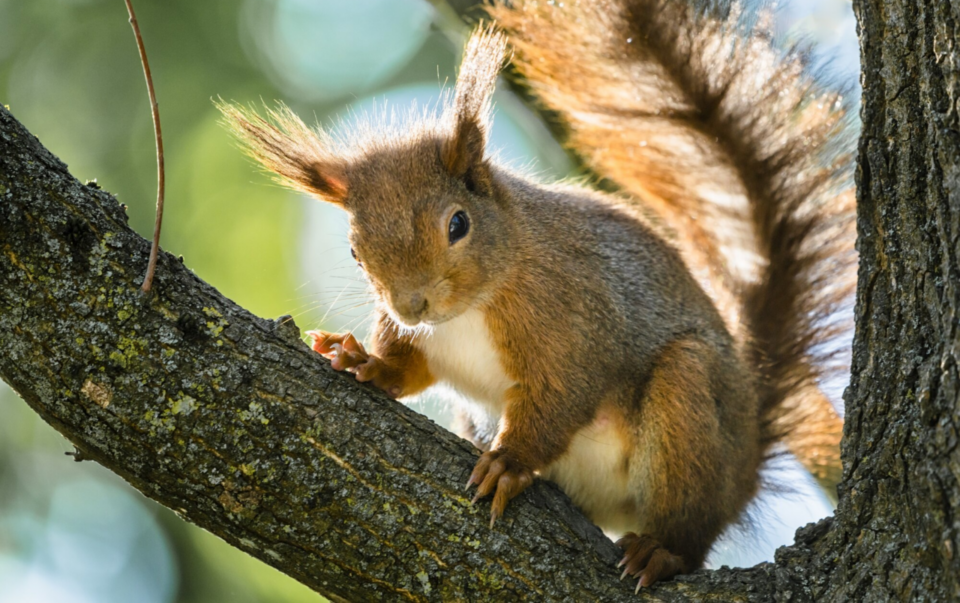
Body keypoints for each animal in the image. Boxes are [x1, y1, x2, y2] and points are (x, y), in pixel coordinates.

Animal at [219, 0, 856, 588]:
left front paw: (510, 463)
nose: (409, 306)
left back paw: (661, 551)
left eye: (458, 224)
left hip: (691, 410)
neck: (471, 308)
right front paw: (365, 361)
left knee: (691, 527)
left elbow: (561, 396)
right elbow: (409, 367)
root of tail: (748, 457)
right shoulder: (429, 341)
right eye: (354, 252)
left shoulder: (571, 319)